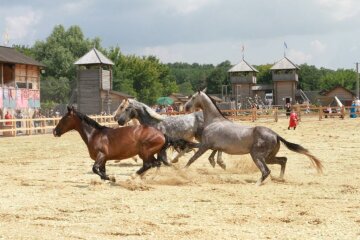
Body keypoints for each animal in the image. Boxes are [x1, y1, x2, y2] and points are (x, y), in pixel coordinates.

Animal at [186, 90, 324, 186]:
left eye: (193, 97)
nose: (186, 107)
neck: (214, 121)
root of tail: (275, 134)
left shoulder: (205, 145)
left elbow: (192, 159)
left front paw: (182, 170)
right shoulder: (214, 146)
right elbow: (213, 155)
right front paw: (218, 164)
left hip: (257, 156)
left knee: (266, 171)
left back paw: (257, 183)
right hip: (268, 157)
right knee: (283, 160)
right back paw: (279, 178)